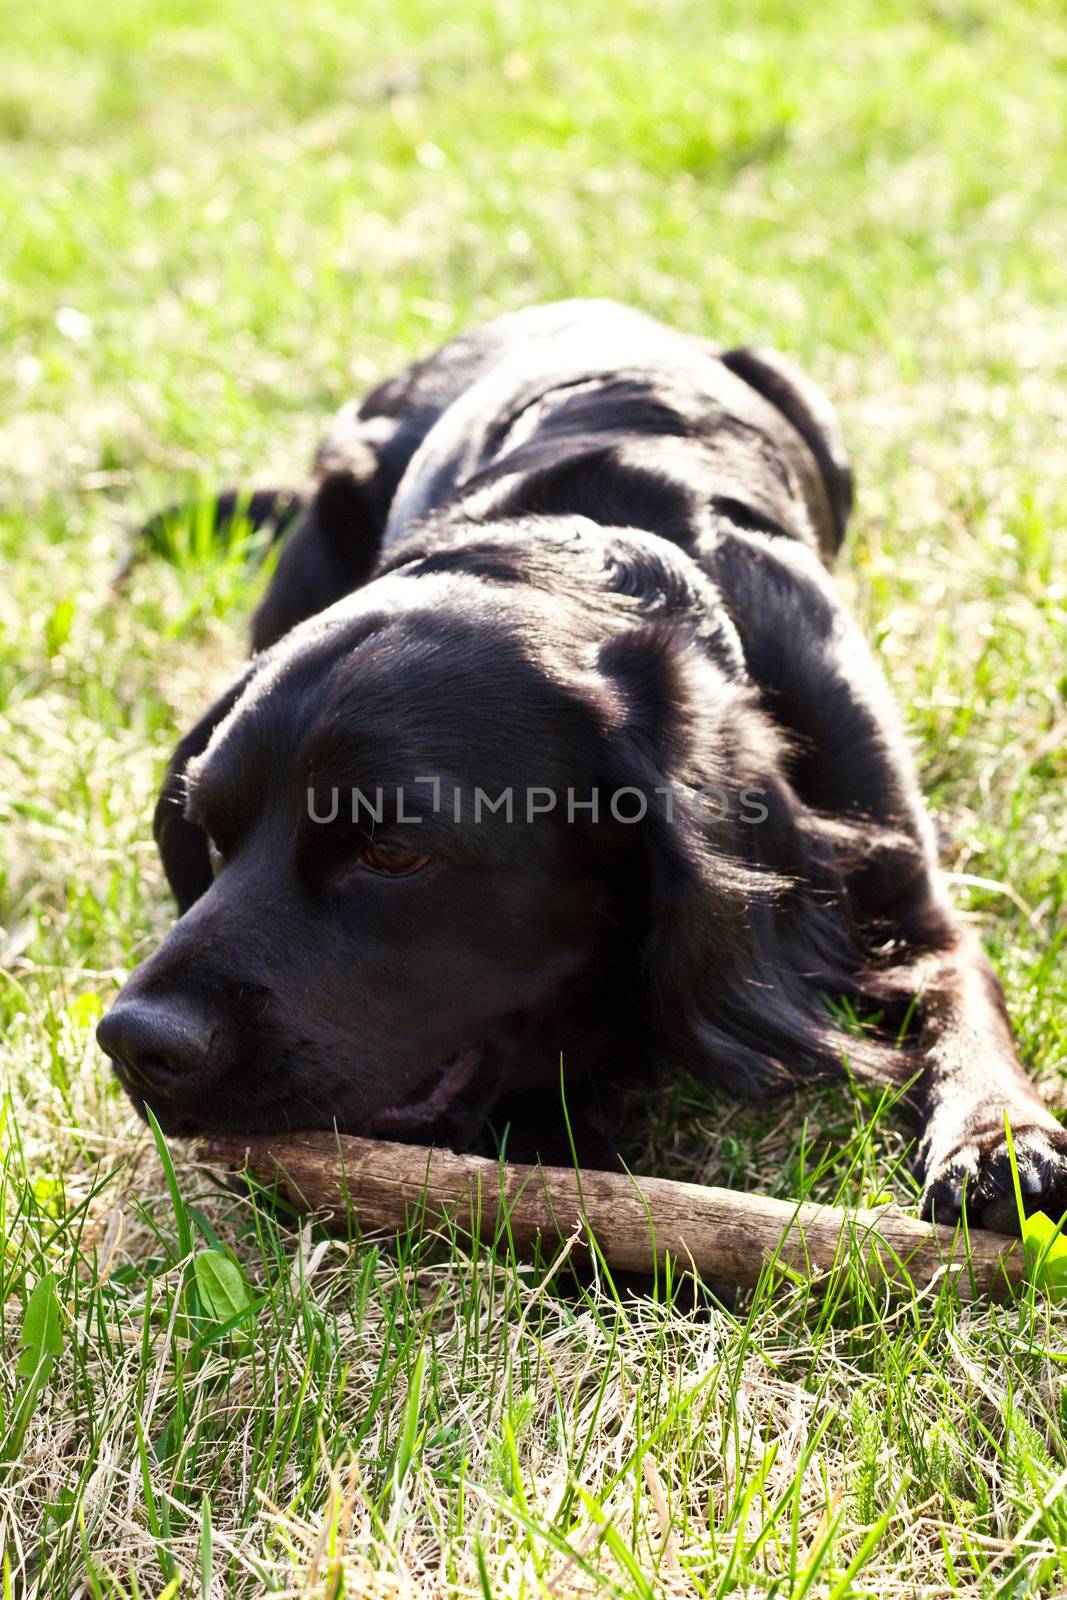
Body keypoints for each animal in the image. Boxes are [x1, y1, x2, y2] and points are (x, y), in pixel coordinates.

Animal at [95, 300, 1062, 1222]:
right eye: (210, 834)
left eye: (394, 854)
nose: (135, 1043)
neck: (602, 551)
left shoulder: (905, 891)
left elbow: (964, 1005)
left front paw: (997, 1139)